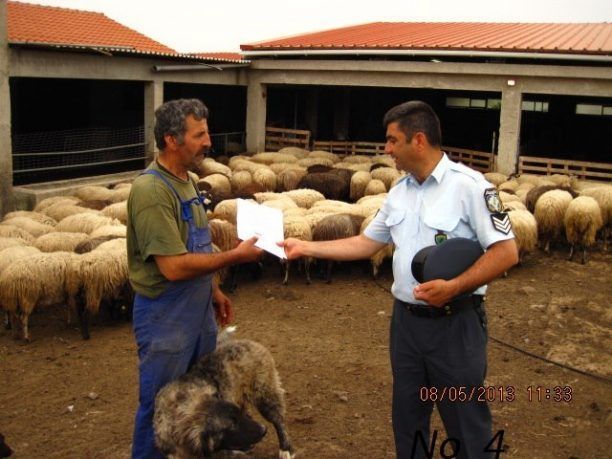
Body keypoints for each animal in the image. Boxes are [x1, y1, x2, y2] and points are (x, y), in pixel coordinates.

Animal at [154, 336, 296, 458]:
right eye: (231, 425)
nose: (263, 430)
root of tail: (249, 342)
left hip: (265, 397)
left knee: (279, 421)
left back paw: (285, 449)